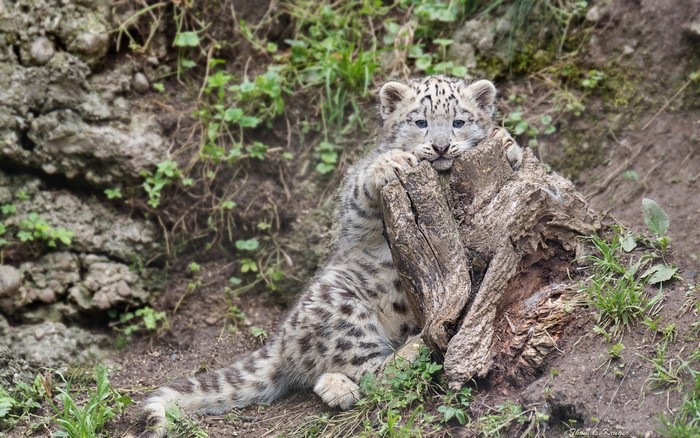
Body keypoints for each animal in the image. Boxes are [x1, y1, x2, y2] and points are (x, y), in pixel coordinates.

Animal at [139, 75, 523, 437]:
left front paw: (511, 148)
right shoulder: (356, 218)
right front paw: (392, 163)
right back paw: (410, 349)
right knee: (369, 370)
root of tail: (281, 339)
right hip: (341, 306)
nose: (441, 146)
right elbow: (360, 188)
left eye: (459, 121)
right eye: (420, 122)